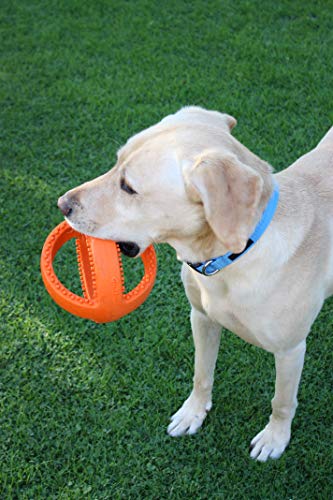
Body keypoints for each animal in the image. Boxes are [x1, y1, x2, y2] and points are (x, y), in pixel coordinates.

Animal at [57, 108, 332, 460]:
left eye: (128, 187)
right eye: (116, 162)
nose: (62, 203)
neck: (233, 258)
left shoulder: (290, 349)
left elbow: (282, 401)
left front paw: (275, 438)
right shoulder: (201, 318)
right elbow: (202, 373)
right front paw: (193, 414)